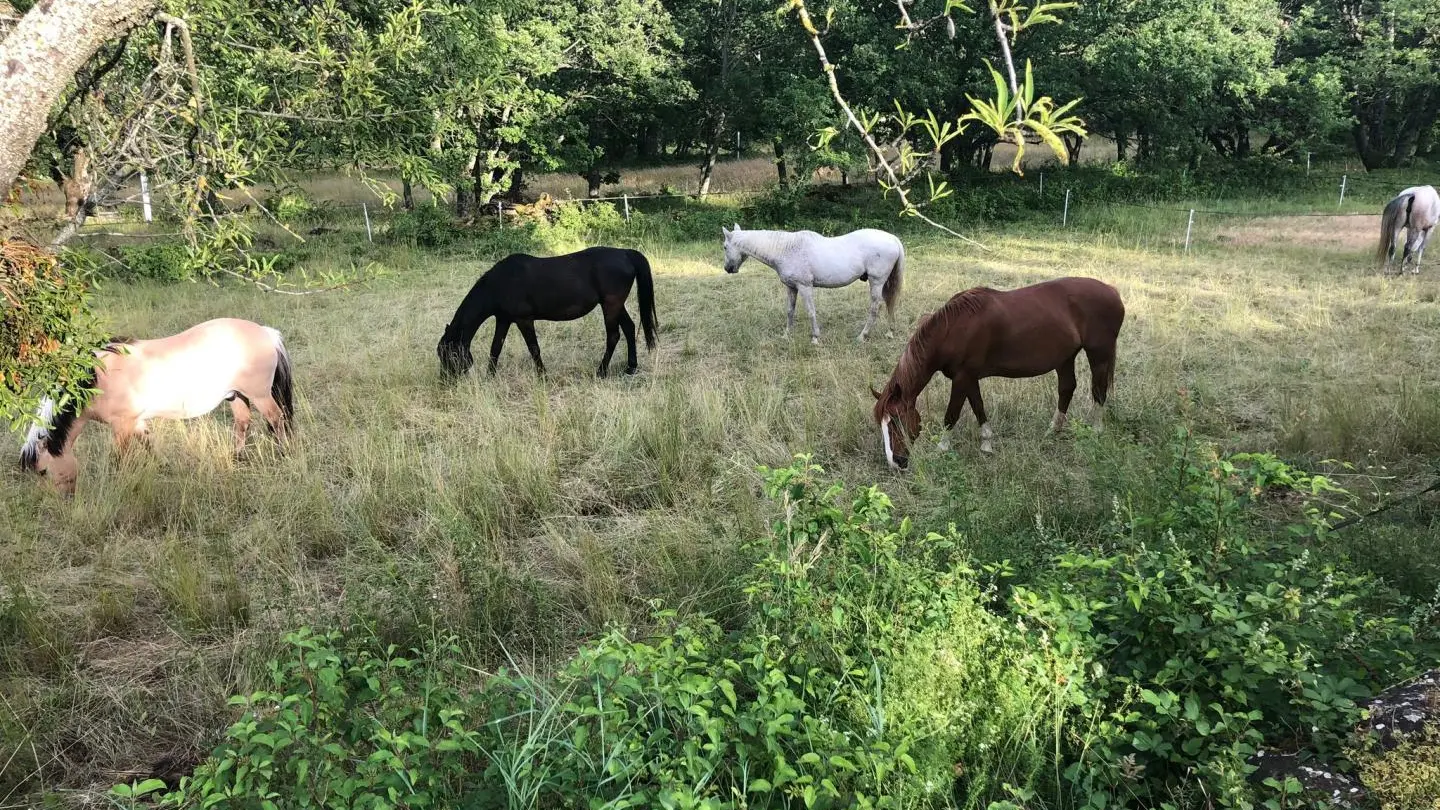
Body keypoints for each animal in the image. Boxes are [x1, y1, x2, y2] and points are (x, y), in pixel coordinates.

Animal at [19, 318, 294, 495]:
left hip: (260, 396)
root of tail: (265, 332)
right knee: (243, 422)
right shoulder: (136, 422)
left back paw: (284, 453)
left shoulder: (122, 426)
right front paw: (164, 466)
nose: (60, 502)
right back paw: (237, 456)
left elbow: (119, 459)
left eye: (43, 471)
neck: (95, 379)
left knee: (276, 418)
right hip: (235, 396)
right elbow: (150, 443)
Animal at [437, 246, 658, 378]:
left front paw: (542, 375)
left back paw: (601, 372)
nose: (445, 381)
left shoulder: (524, 320)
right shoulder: (504, 319)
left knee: (613, 336)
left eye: (448, 354)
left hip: (611, 305)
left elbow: (534, 348)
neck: (500, 283)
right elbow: (495, 348)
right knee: (629, 328)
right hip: (615, 305)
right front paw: (489, 376)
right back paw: (630, 367)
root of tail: (625, 253)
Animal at [720, 224, 904, 344]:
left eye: (724, 247)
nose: (727, 269)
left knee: (875, 308)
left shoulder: (805, 287)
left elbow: (810, 311)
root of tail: (894, 239)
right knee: (889, 303)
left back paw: (862, 336)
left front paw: (815, 338)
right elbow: (790, 311)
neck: (786, 250)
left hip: (876, 281)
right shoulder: (791, 287)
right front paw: (786, 335)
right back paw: (890, 332)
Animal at [871, 277, 1124, 469]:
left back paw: (1096, 432)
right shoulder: (969, 378)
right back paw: (1052, 430)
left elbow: (952, 414)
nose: (896, 463)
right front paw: (986, 444)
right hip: (1065, 357)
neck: (954, 329)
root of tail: (1112, 291)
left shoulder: (962, 378)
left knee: (1099, 391)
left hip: (1099, 354)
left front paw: (942, 448)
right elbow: (978, 407)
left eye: (895, 421)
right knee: (1067, 388)